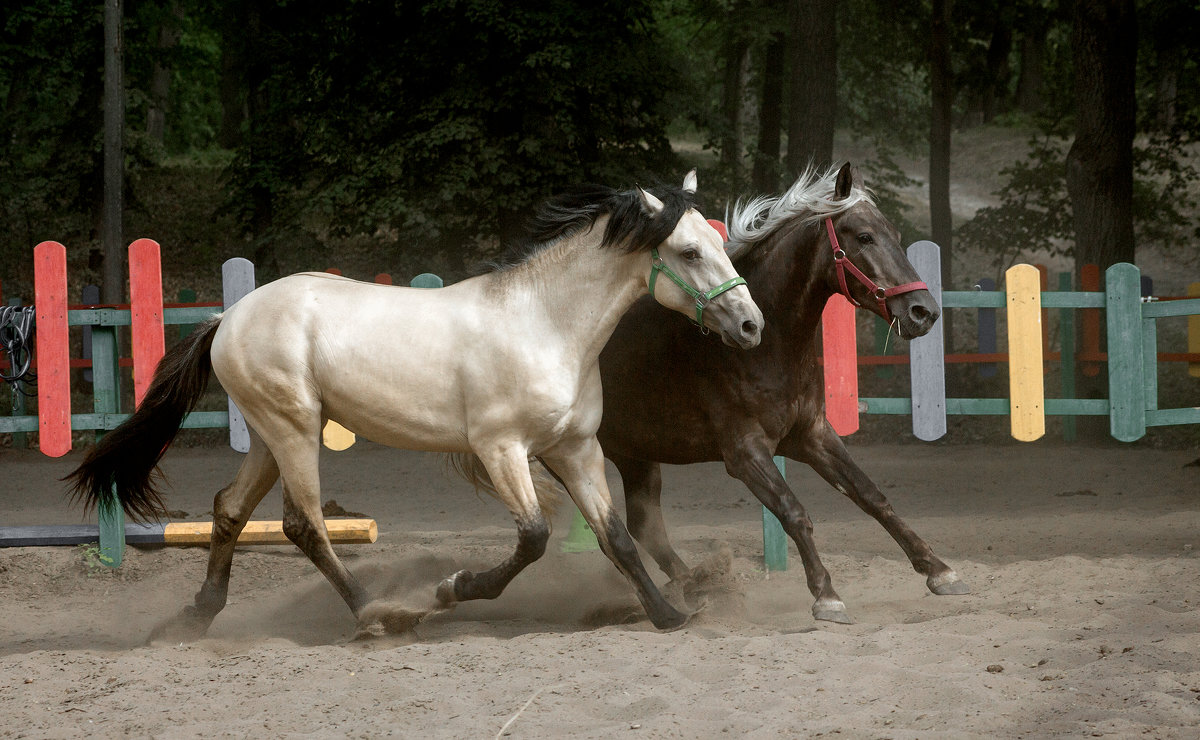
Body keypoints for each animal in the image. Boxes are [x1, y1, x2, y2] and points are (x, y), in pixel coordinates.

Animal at [595, 163, 969, 623]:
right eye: (864, 237)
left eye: (896, 236)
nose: (924, 312)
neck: (763, 345)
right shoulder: (745, 452)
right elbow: (794, 511)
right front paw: (826, 595)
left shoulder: (811, 434)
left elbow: (872, 497)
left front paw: (939, 570)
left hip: (635, 455)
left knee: (645, 527)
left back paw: (697, 586)